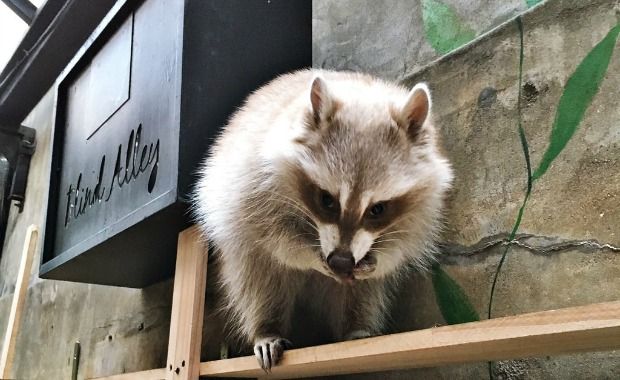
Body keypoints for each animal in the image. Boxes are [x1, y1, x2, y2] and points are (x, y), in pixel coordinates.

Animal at [191, 69, 452, 372]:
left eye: (377, 210)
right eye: (327, 200)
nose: (340, 261)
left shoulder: (424, 205)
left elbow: (400, 248)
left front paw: (377, 260)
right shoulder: (253, 181)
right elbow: (273, 238)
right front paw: (309, 255)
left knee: (363, 294)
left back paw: (356, 326)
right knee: (257, 280)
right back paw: (266, 328)